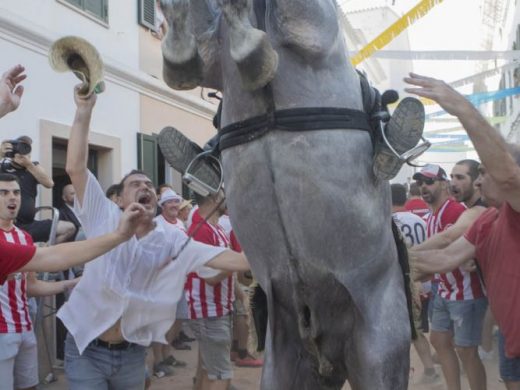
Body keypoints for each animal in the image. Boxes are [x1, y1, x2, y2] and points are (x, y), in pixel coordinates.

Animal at [160, 1, 412, 388]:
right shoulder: (215, 58)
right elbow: (205, 43)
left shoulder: (311, 31)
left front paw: (246, 47)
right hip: (284, 362)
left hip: (378, 352)